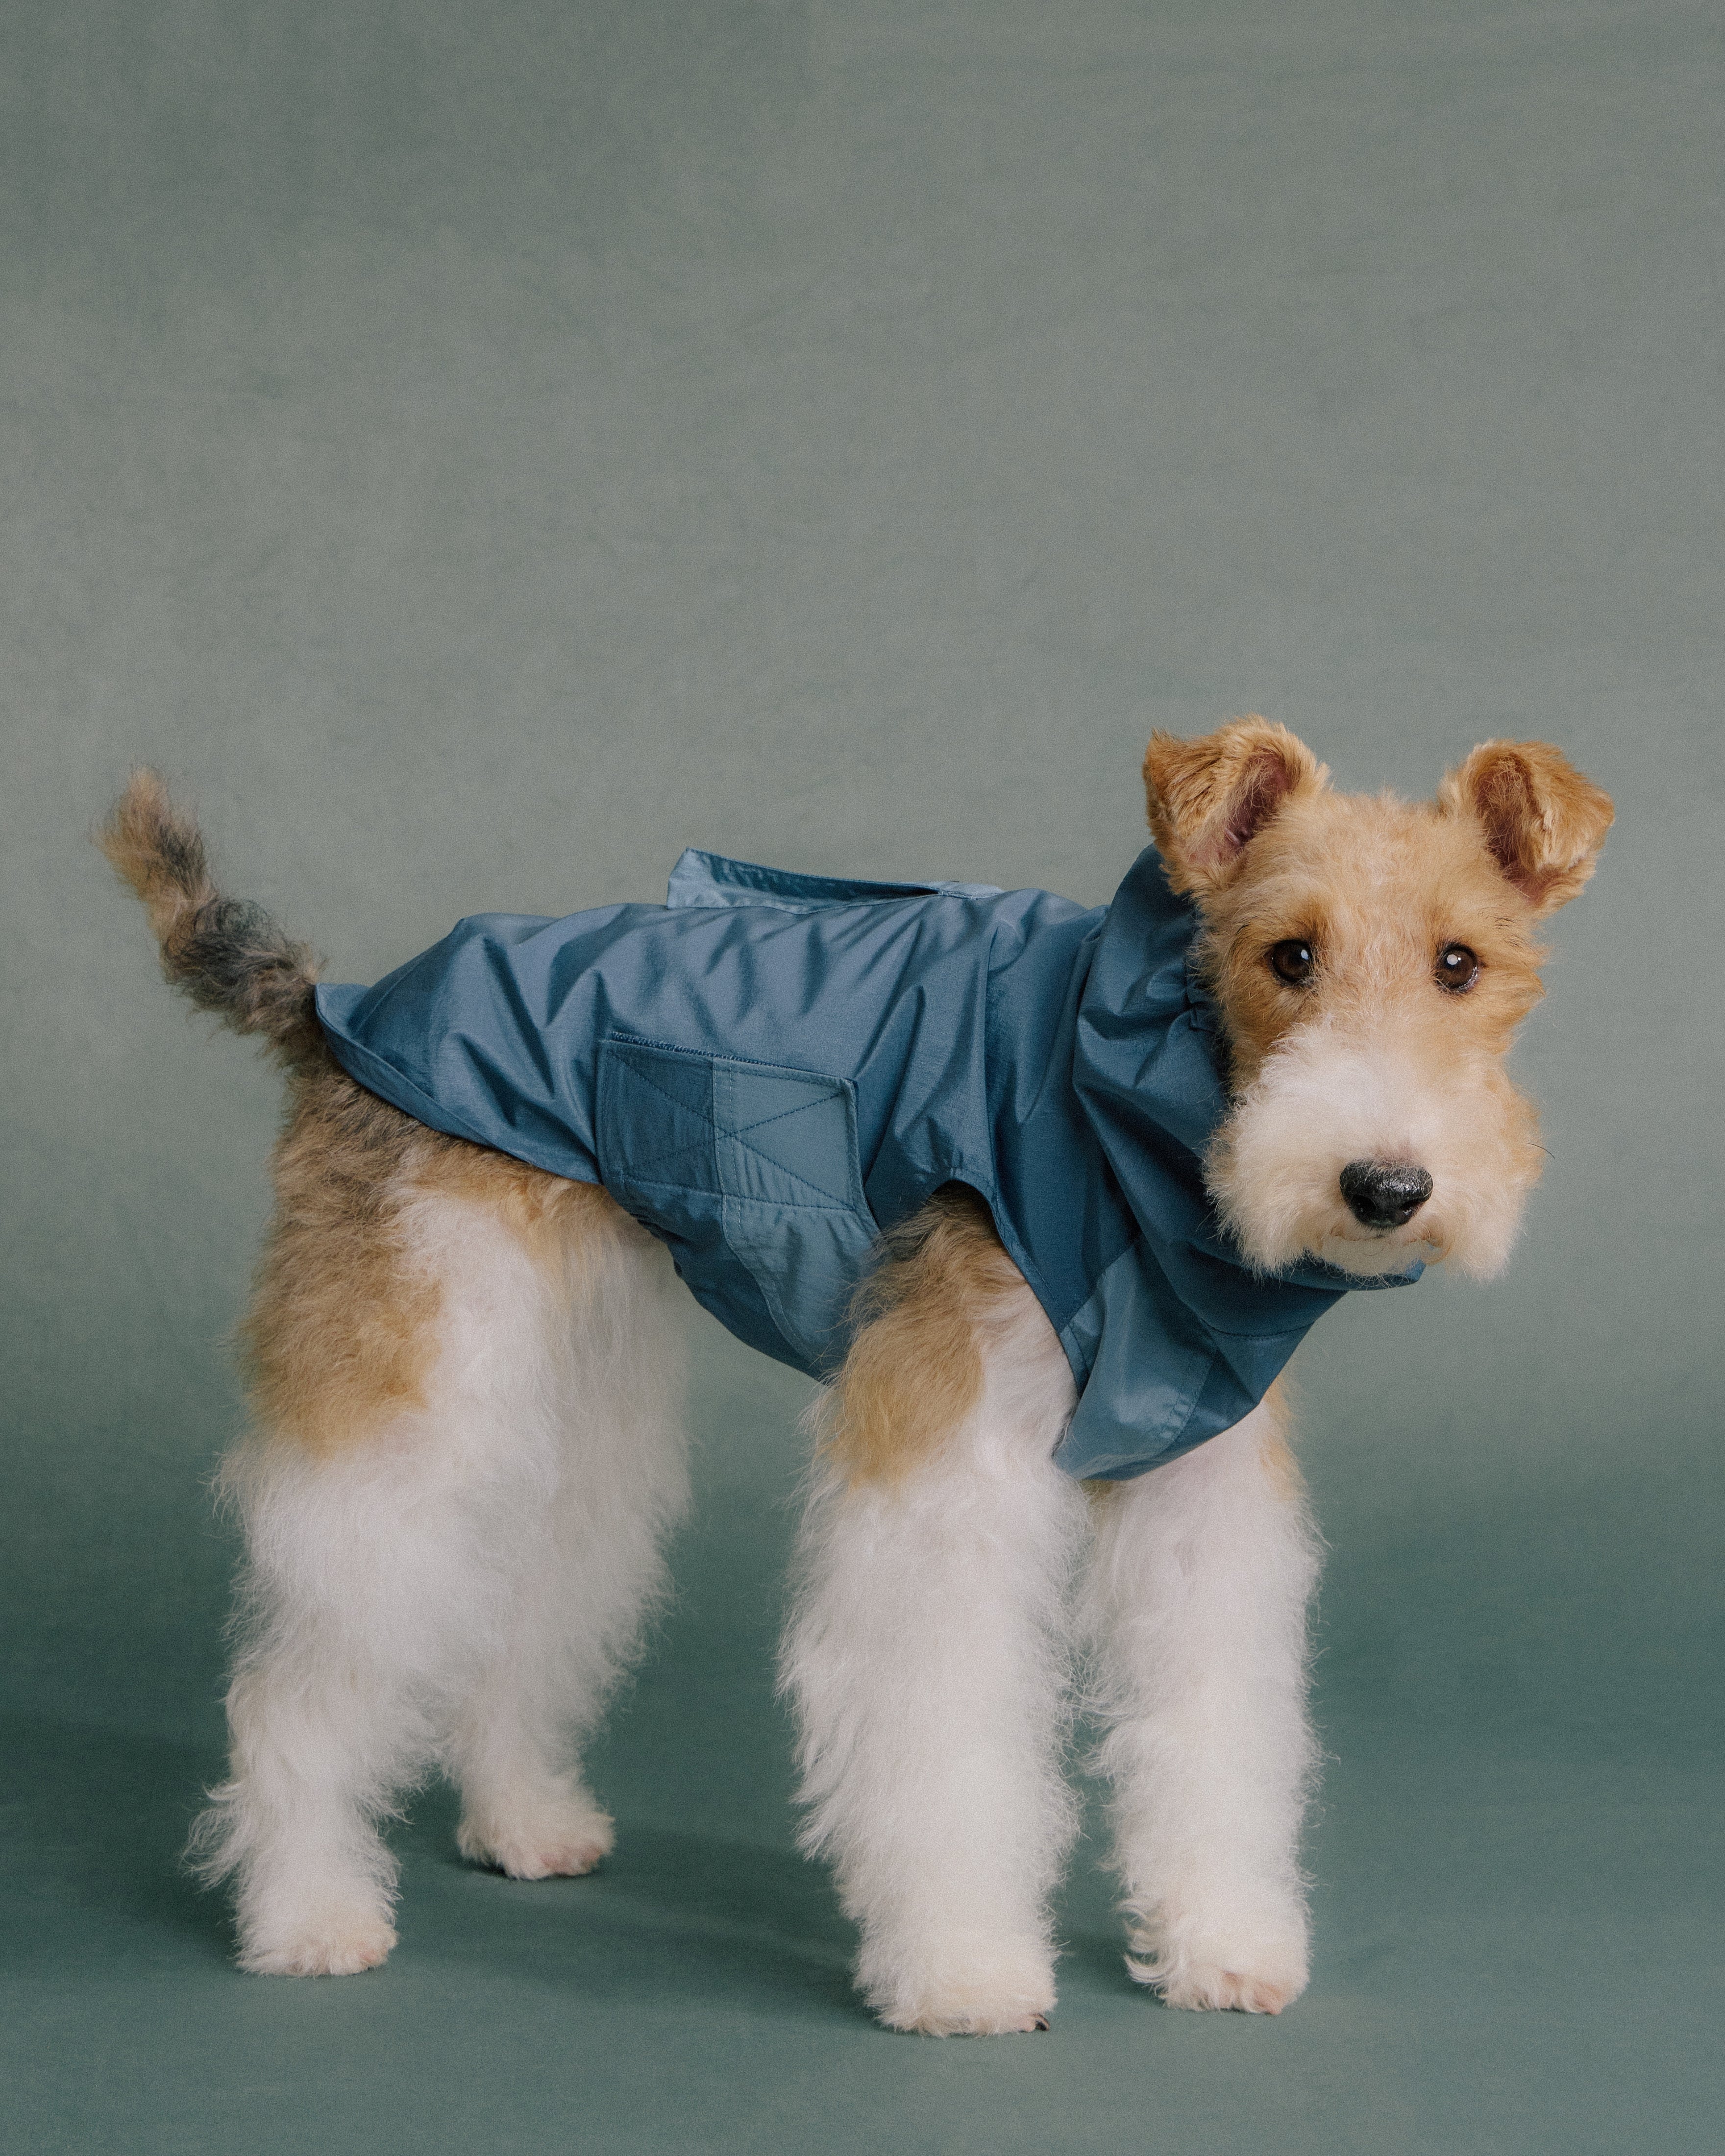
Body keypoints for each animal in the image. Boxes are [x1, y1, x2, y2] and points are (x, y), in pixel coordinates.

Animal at [98, 715, 1604, 2027]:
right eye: (1288, 954)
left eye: (1459, 964)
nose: (1385, 1186)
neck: (1130, 1110)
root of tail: (338, 1007)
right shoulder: (950, 1470)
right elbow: (947, 1730)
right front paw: (965, 1971)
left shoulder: (1197, 1488)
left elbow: (1212, 1719)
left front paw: (1221, 1943)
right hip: (413, 1384)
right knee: (298, 1684)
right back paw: (307, 1909)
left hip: (564, 1404)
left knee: (517, 1600)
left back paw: (520, 1819)